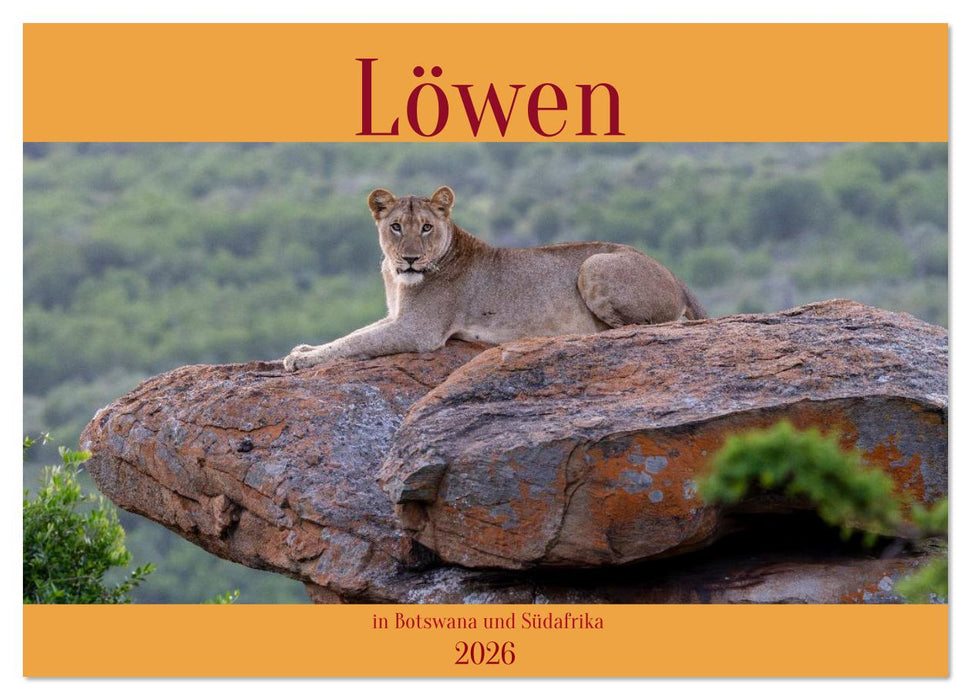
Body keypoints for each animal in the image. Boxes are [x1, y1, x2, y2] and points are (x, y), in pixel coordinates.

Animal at [283, 186, 706, 371]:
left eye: (426, 228)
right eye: (396, 226)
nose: (410, 259)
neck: (396, 277)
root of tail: (675, 275)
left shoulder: (419, 330)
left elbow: (355, 343)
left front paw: (301, 359)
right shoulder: (397, 316)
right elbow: (354, 334)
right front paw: (303, 348)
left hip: (594, 264)